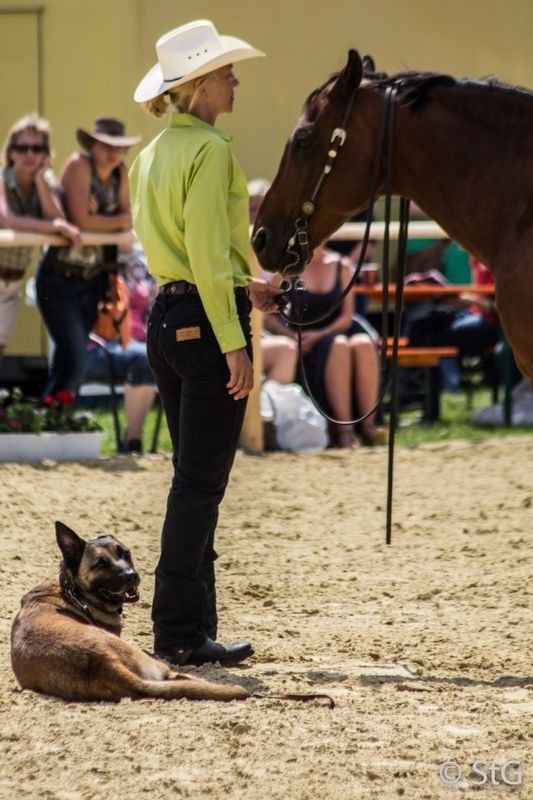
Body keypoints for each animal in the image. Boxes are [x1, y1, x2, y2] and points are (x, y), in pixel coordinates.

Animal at [10, 524, 247, 700]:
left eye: (125, 553)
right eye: (100, 564)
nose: (131, 575)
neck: (73, 591)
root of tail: (104, 661)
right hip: (151, 662)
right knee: (176, 676)